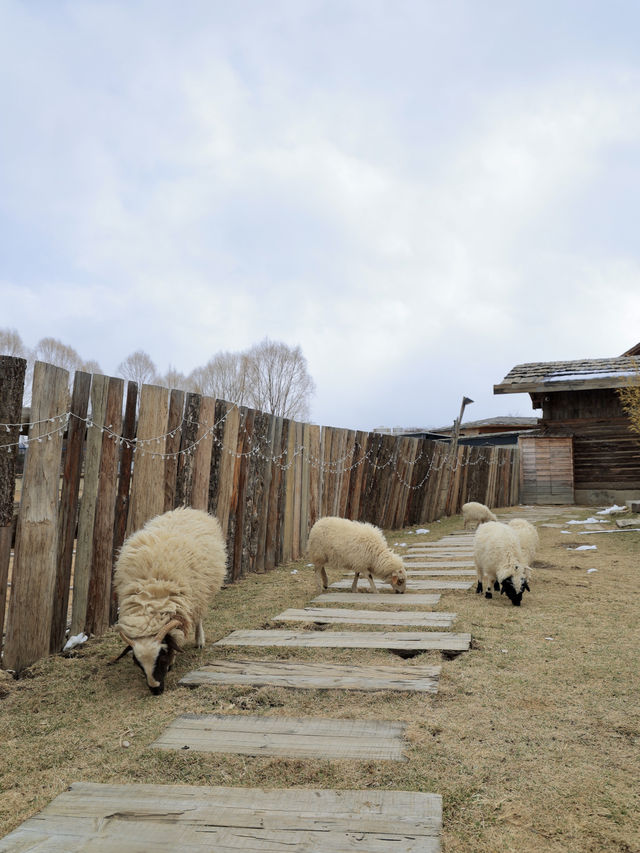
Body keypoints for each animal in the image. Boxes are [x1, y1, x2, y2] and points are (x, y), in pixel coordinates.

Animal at [112, 506, 228, 692]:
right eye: (138, 663)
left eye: (162, 656)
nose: (156, 690)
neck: (151, 599)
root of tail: (187, 509)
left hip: (202, 592)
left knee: (199, 617)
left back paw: (199, 640)